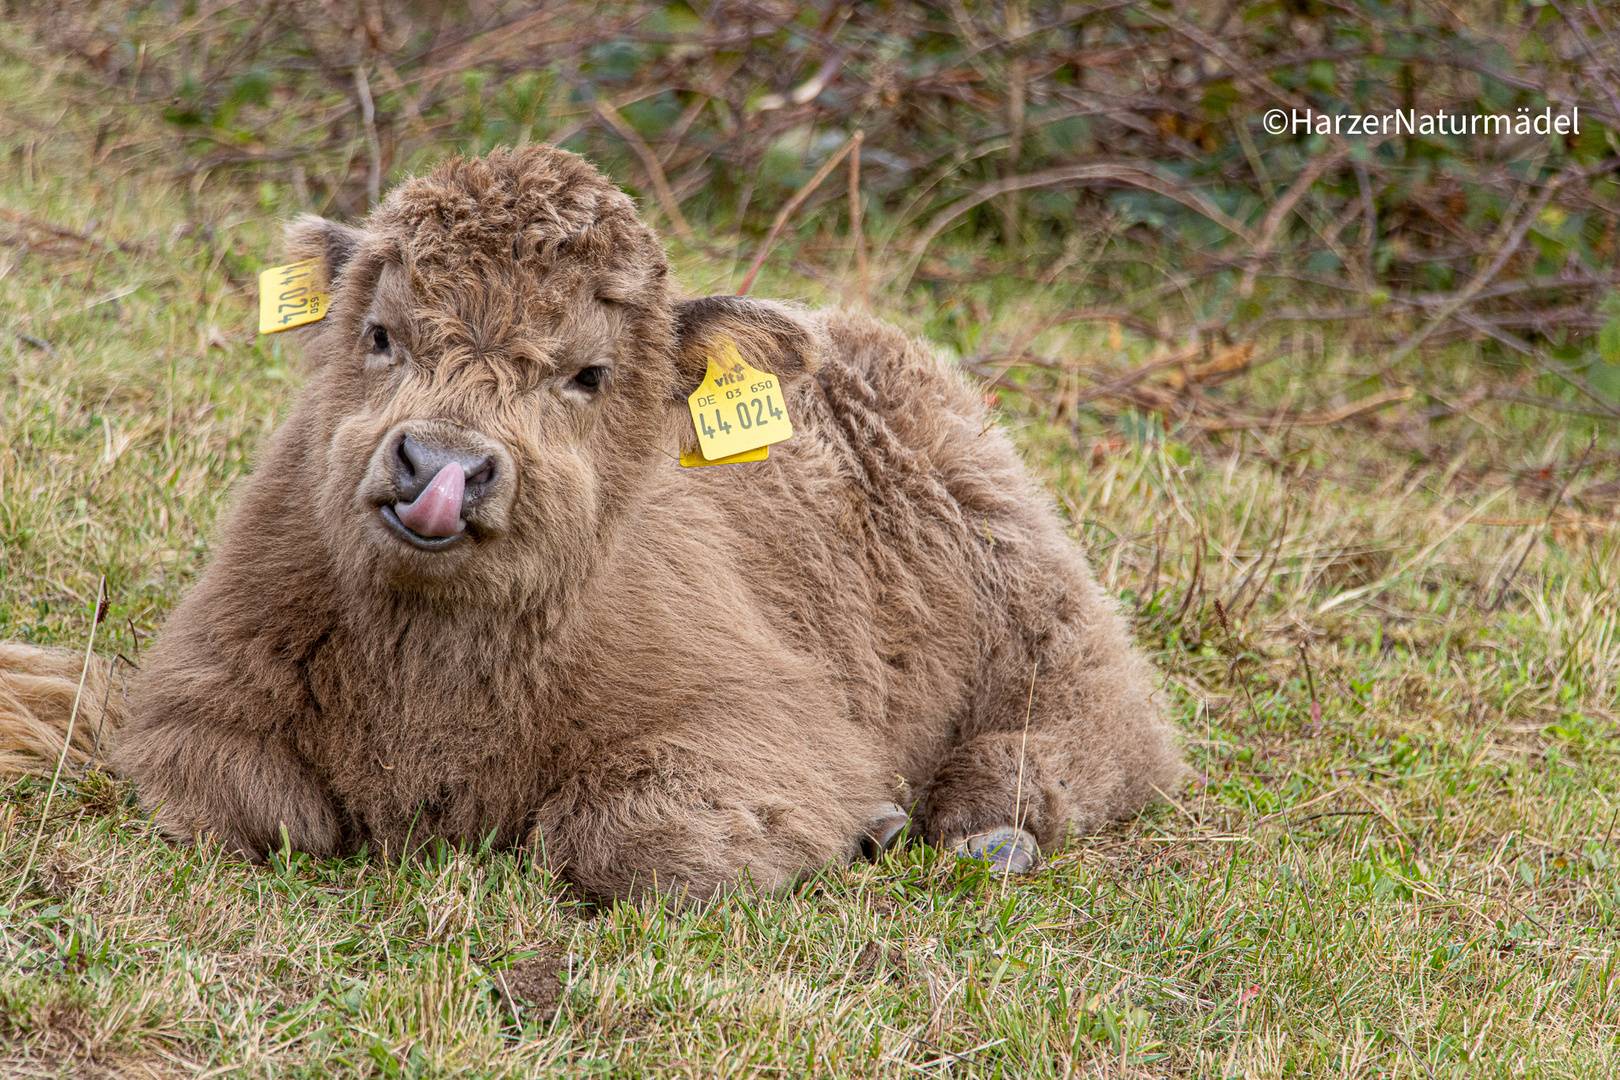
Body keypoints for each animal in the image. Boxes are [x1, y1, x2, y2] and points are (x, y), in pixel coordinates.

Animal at [3, 145, 1192, 906]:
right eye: (380, 334)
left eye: (589, 373)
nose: (441, 467)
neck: (436, 686)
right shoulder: (193, 700)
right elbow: (258, 803)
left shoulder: (767, 724)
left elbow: (632, 835)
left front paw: (860, 823)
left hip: (1039, 607)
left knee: (1098, 728)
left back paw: (979, 828)